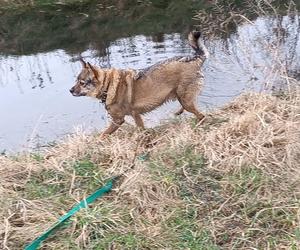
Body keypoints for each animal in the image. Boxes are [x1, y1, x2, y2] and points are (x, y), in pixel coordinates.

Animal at [70, 31, 210, 138]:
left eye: (82, 83)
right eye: (76, 80)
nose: (70, 90)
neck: (108, 85)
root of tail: (196, 58)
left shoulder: (120, 119)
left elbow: (103, 134)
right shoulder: (133, 116)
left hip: (186, 100)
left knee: (202, 116)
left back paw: (198, 125)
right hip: (182, 97)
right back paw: (179, 112)